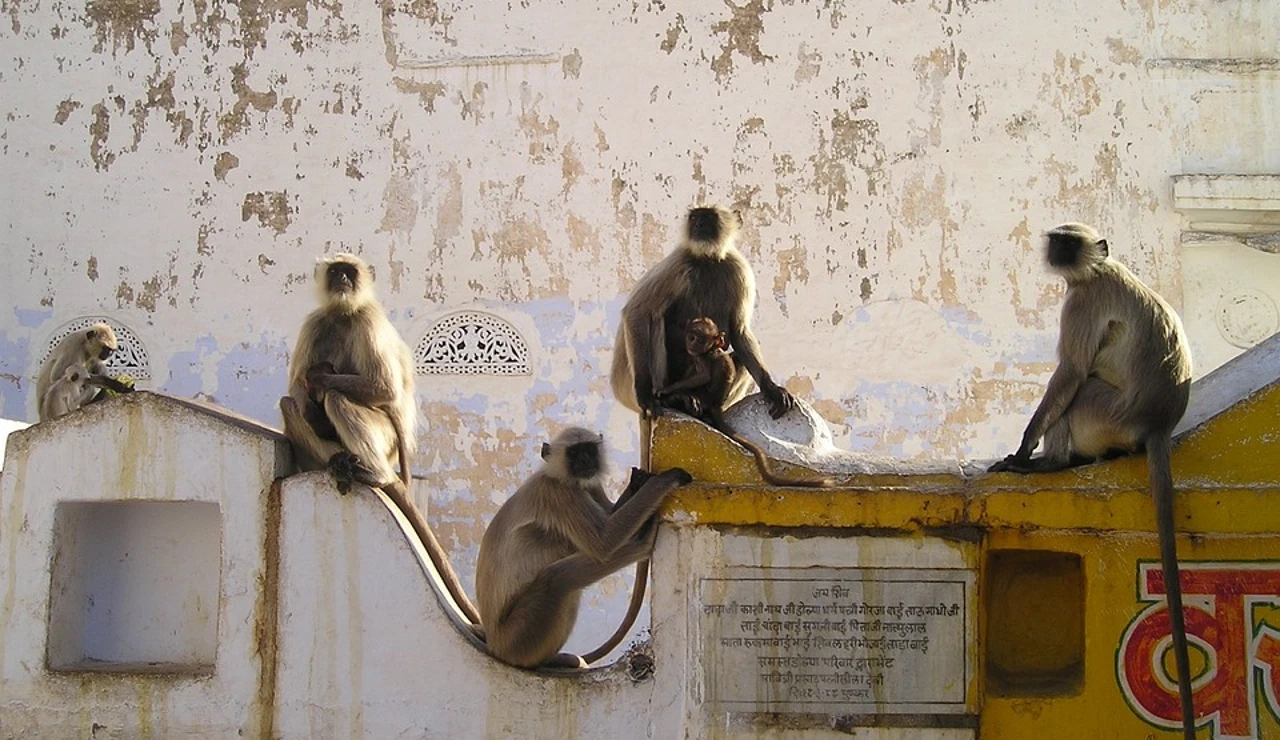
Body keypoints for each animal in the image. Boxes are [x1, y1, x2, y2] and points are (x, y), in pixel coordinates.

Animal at [279, 253, 482, 626]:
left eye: (350, 272)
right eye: (335, 271)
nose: (343, 279)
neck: (343, 314)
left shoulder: (367, 320)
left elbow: (384, 389)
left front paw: (322, 386)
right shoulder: (315, 322)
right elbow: (294, 387)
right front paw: (312, 405)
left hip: (386, 438)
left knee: (339, 399)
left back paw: (375, 473)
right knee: (288, 403)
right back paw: (336, 462)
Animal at [474, 427, 692, 669]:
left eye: (589, 450)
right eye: (574, 453)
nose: (586, 461)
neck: (559, 477)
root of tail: (494, 644)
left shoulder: (591, 485)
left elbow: (610, 517)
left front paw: (637, 482)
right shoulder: (559, 494)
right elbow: (604, 543)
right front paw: (665, 480)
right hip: (517, 636)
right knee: (557, 578)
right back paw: (642, 541)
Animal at [611, 205, 796, 421]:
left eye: (708, 217)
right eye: (694, 217)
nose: (698, 225)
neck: (708, 259)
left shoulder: (738, 268)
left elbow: (739, 331)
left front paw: (772, 388)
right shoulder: (678, 262)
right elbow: (637, 311)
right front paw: (646, 393)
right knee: (654, 317)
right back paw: (671, 399)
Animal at [656, 317, 833, 488]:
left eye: (699, 340)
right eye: (691, 337)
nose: (691, 344)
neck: (711, 350)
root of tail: (716, 405)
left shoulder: (703, 358)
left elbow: (703, 376)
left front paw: (669, 389)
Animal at [988, 222, 1196, 739]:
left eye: (1066, 242)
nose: (1054, 251)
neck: (1099, 270)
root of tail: (1158, 424)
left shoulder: (1082, 300)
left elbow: (1071, 371)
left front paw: (1022, 451)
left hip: (1105, 414)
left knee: (1080, 389)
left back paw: (1052, 463)